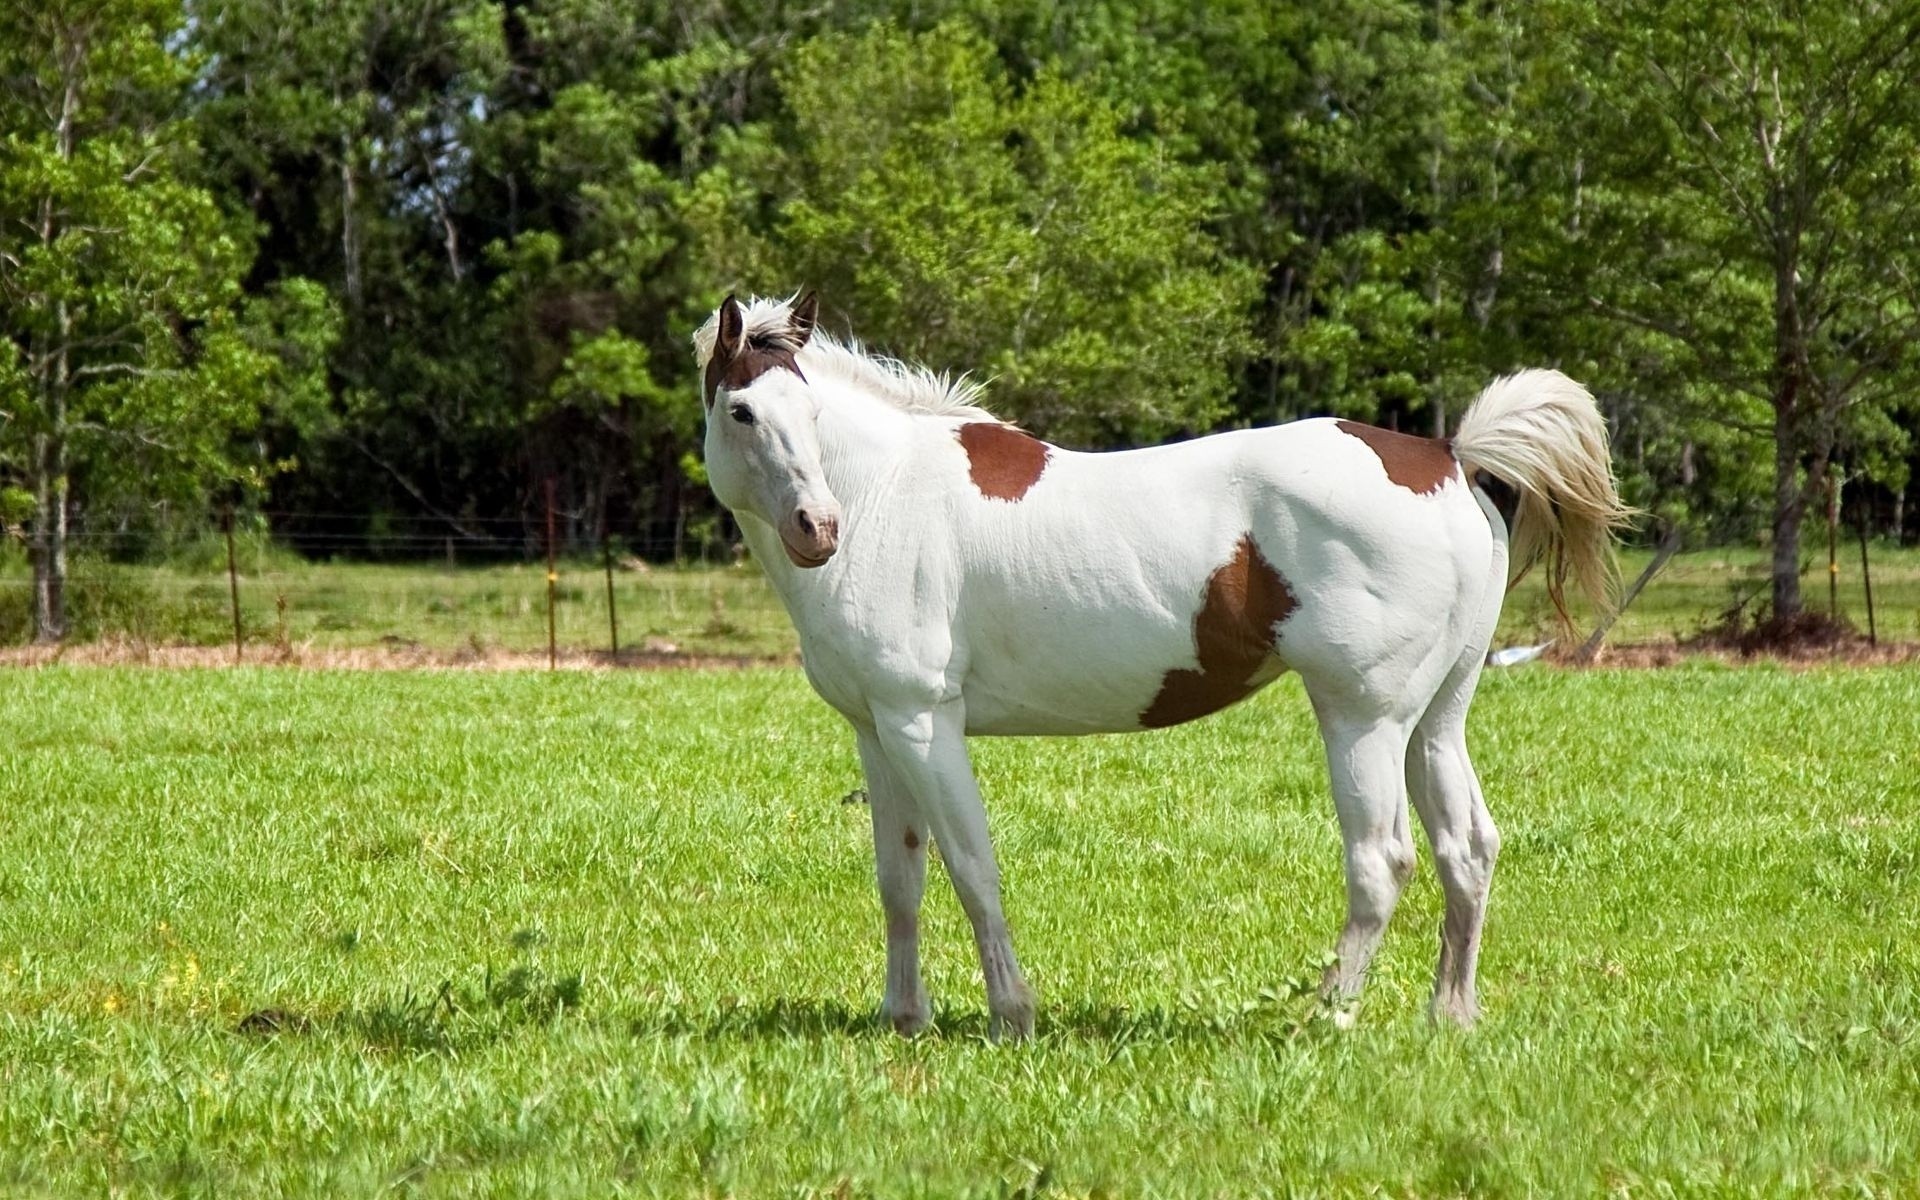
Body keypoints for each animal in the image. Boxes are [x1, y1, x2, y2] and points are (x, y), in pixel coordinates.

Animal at [694, 292, 1629, 1039]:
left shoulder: (925, 724)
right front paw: (903, 1018)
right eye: (743, 411)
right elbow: (901, 879)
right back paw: (1450, 1015)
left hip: (1363, 718)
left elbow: (971, 868)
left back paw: (1323, 1014)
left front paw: (1011, 1016)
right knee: (1466, 849)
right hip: (1435, 720)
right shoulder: (877, 730)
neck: (888, 493)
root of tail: (1446, 457)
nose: (818, 528)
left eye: (810, 415)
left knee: (1382, 861)